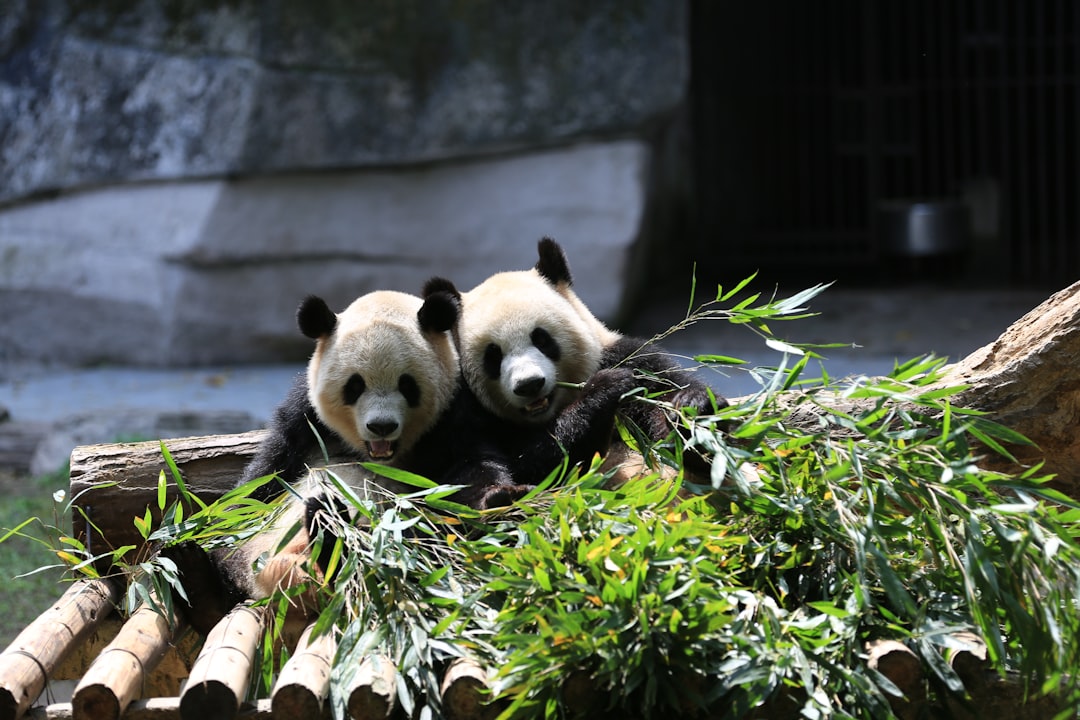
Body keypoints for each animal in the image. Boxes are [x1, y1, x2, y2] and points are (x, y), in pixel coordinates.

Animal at [426, 237, 723, 484]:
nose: (529, 384)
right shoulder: (462, 413)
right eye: (493, 355)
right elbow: (532, 466)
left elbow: (664, 395)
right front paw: (605, 389)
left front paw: (692, 411)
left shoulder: (630, 359)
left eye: (542, 339)